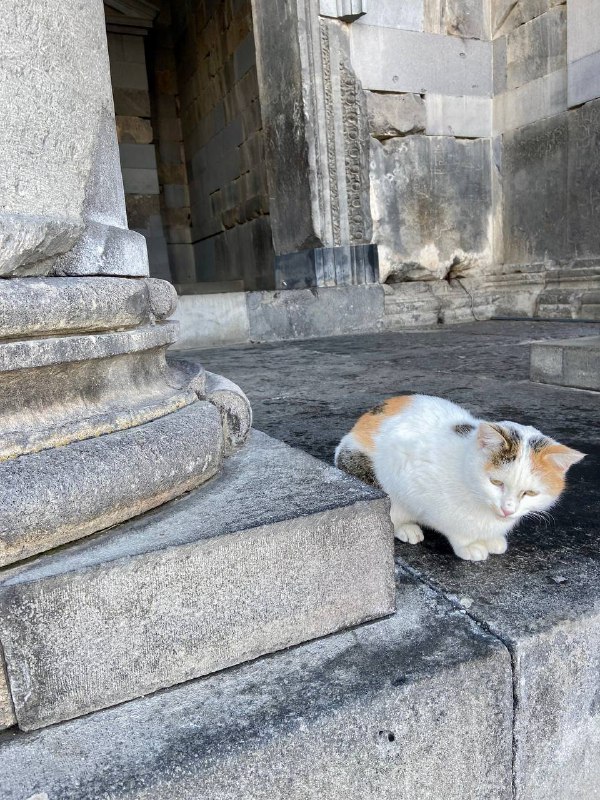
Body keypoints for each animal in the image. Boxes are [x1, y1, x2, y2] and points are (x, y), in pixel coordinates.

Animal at [336, 396, 584, 564]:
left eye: (530, 493)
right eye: (496, 482)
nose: (507, 510)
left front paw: (493, 539)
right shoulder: (415, 479)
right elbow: (452, 524)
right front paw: (470, 545)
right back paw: (407, 528)